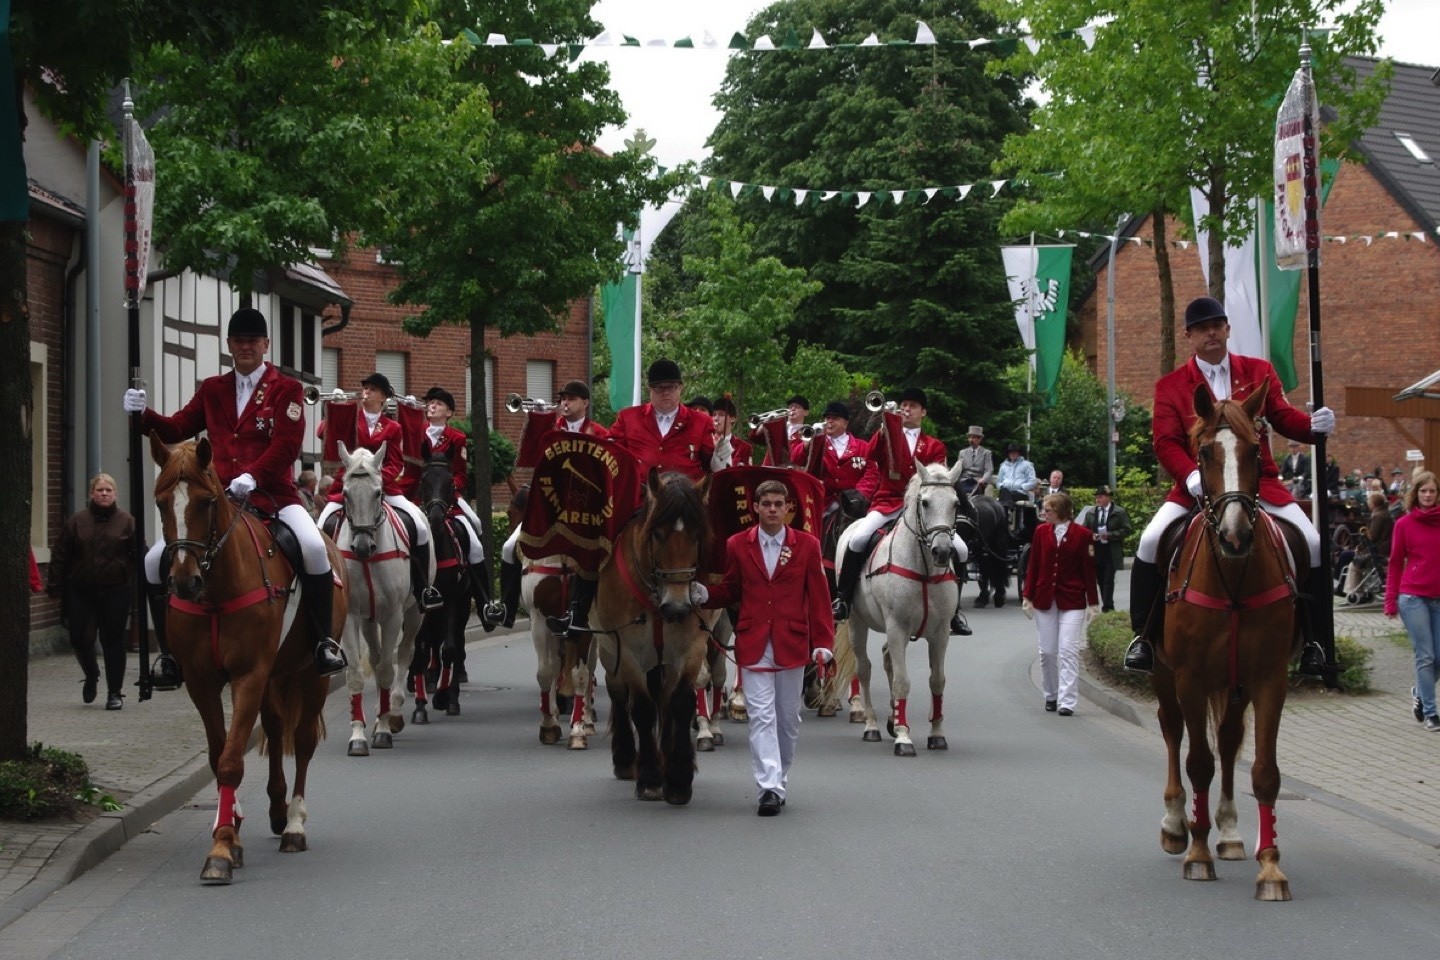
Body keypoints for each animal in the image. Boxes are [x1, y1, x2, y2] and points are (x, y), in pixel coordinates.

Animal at [149, 434, 342, 886]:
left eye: (205, 502)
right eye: (161, 502)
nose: (183, 582)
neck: (216, 590)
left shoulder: (248, 675)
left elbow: (231, 760)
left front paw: (220, 848)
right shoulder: (202, 682)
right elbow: (219, 753)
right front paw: (230, 828)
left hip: (312, 676)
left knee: (302, 741)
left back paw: (294, 825)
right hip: (275, 676)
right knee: (273, 729)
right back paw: (276, 810)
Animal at [335, 446, 426, 759]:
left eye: (378, 492)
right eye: (345, 492)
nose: (362, 547)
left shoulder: (393, 616)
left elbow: (388, 669)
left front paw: (384, 730)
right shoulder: (351, 615)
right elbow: (355, 674)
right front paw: (358, 736)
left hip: (414, 614)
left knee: (404, 654)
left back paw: (393, 712)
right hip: (368, 618)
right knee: (375, 658)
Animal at [593, 469, 711, 805]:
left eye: (697, 534)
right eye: (657, 534)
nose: (678, 607)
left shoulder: (691, 648)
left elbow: (681, 702)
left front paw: (679, 778)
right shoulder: (629, 652)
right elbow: (642, 709)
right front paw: (649, 778)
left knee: (665, 699)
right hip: (609, 651)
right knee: (619, 695)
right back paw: (625, 759)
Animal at [835, 460, 967, 759]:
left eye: (955, 503)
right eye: (925, 502)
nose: (943, 552)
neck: (924, 568)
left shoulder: (940, 634)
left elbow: (937, 680)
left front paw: (936, 734)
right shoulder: (897, 628)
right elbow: (902, 681)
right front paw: (904, 738)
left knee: (886, 660)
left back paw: (891, 720)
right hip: (857, 624)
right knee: (865, 668)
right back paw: (872, 724)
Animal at [1152, 382, 1301, 903]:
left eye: (1256, 450)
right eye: (1202, 452)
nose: (1237, 535)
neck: (1234, 577)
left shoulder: (1269, 680)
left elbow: (1265, 772)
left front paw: (1271, 866)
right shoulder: (1190, 679)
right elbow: (1199, 762)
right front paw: (1197, 853)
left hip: (1236, 686)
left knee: (1232, 739)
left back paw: (1232, 833)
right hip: (1165, 675)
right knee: (1173, 732)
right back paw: (1177, 824)